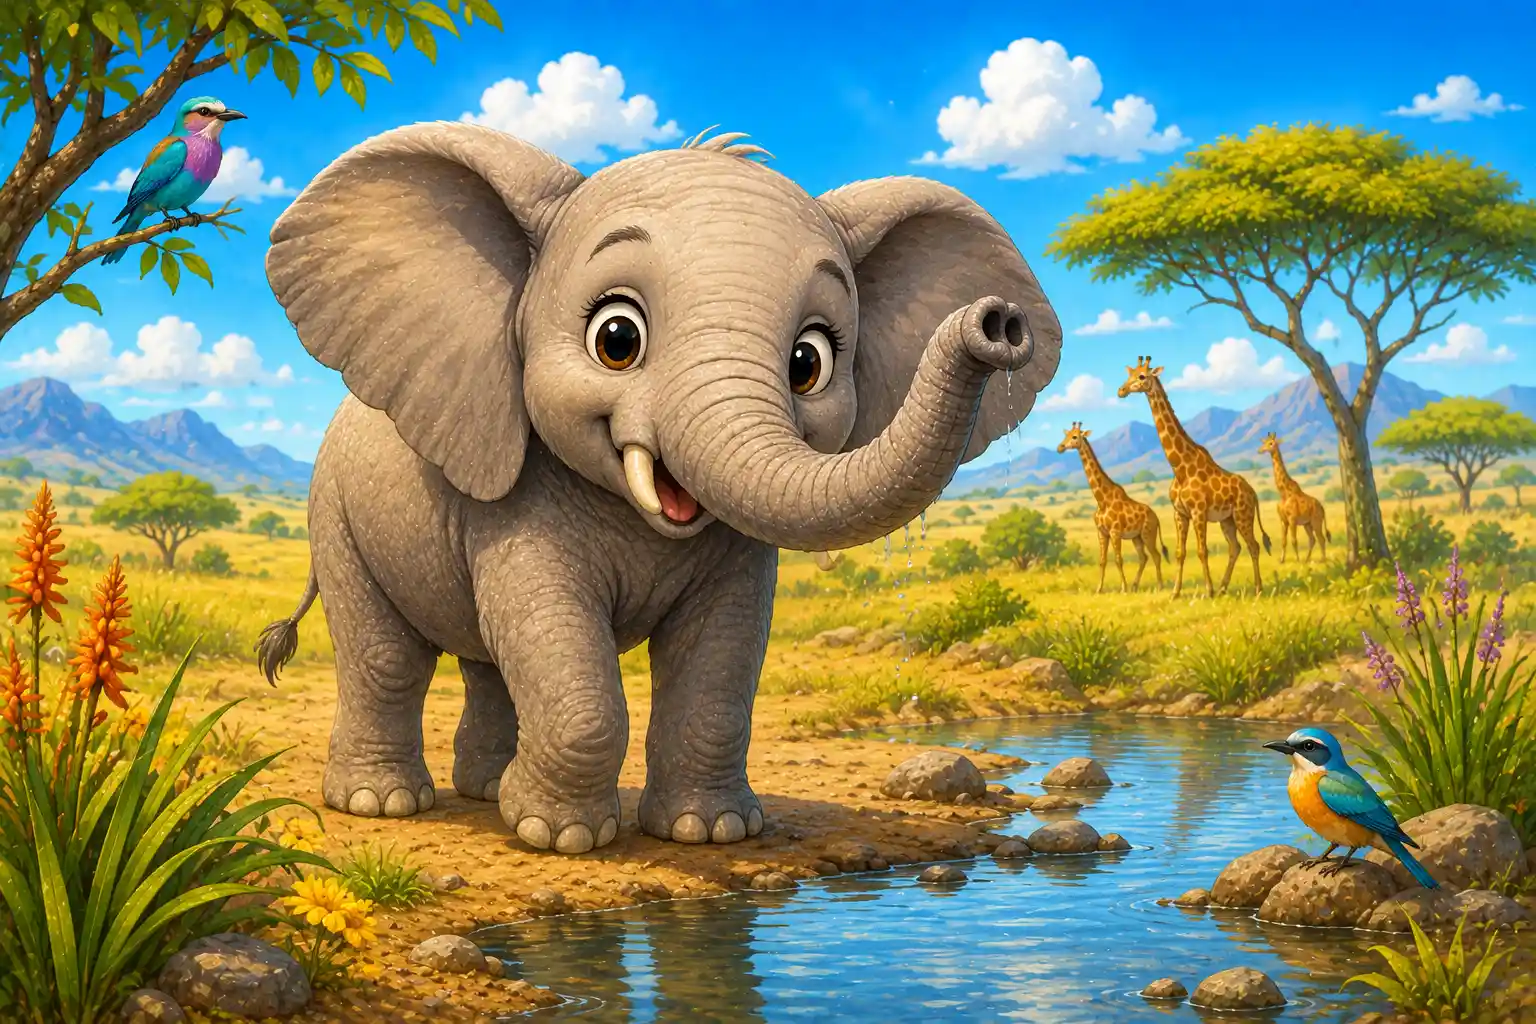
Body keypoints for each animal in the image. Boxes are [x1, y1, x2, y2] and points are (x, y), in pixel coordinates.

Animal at [255, 122, 1062, 855]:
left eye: (809, 362)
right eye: (617, 340)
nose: (998, 322)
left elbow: (720, 660)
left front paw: (709, 833)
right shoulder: (516, 511)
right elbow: (562, 653)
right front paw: (559, 838)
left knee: (488, 664)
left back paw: (484, 791)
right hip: (333, 510)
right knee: (388, 656)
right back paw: (383, 803)